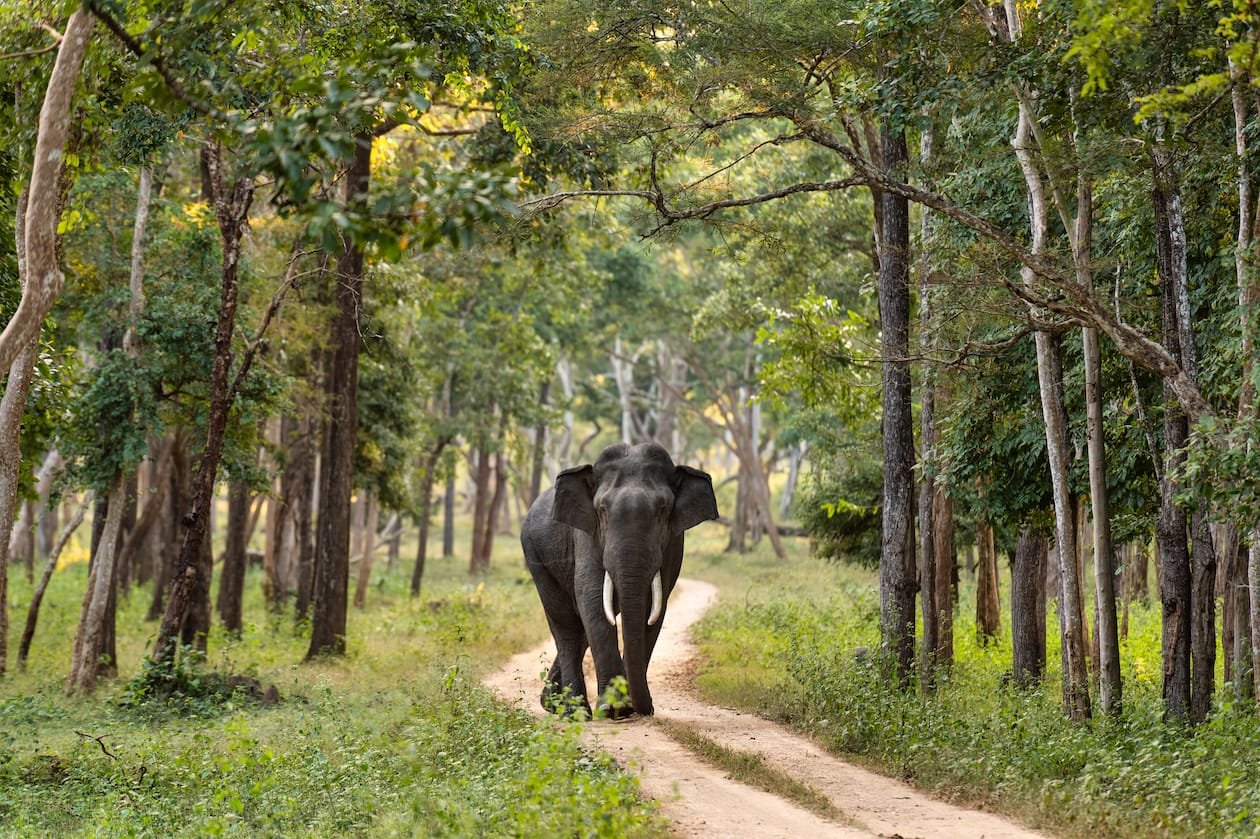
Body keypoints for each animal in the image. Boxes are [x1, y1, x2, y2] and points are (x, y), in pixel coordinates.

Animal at [521, 442, 718, 718]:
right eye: (602, 510)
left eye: (663, 510)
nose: (649, 710)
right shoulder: (586, 533)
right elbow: (592, 599)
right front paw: (613, 708)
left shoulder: (673, 543)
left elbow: (653, 608)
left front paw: (626, 706)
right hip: (534, 554)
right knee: (567, 626)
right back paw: (573, 712)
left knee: (580, 630)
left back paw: (551, 703)